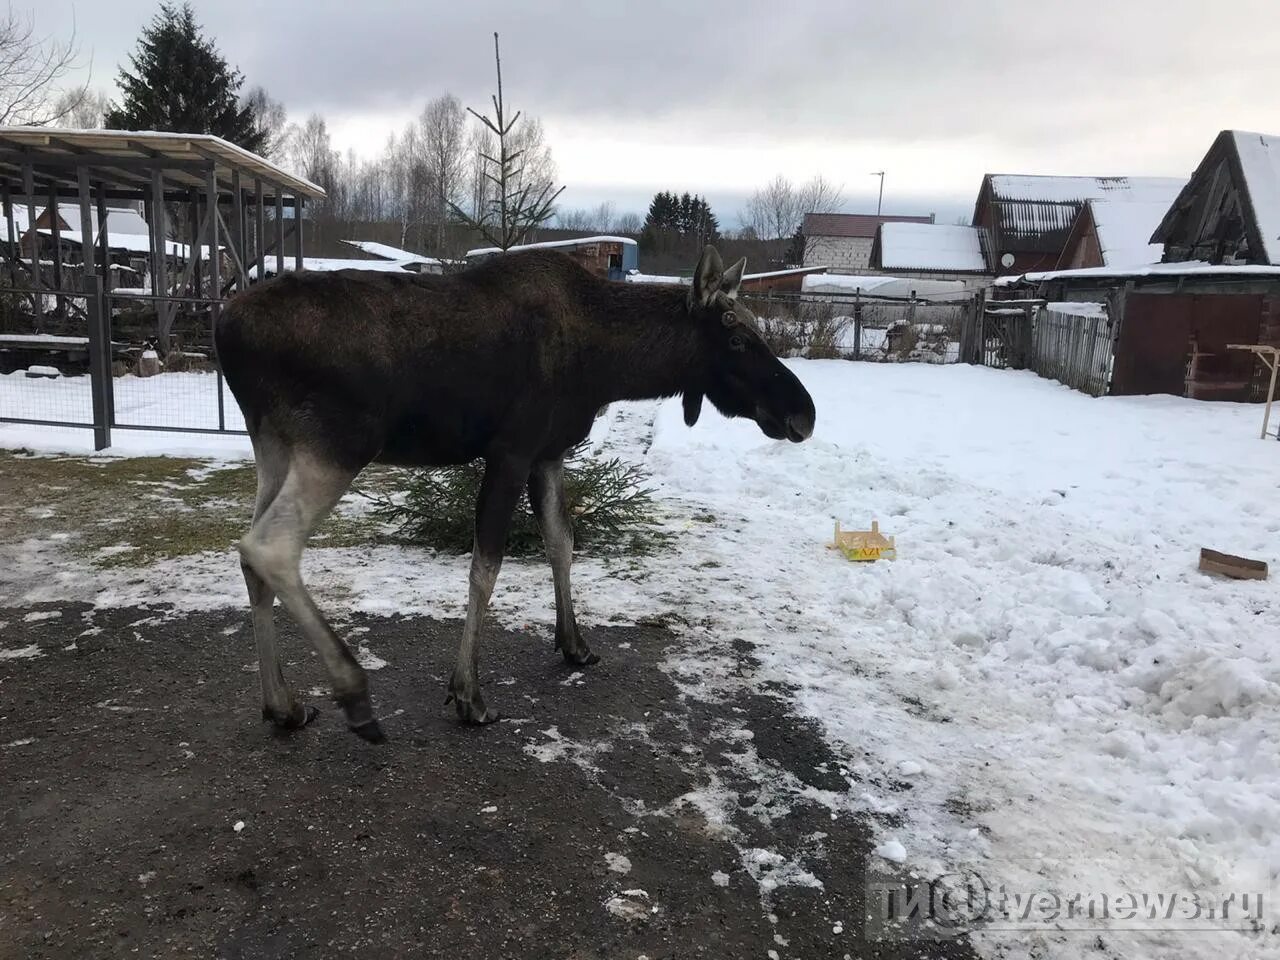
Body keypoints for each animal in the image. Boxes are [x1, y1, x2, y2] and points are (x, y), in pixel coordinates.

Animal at [215, 245, 814, 742]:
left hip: (273, 443)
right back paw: (353, 692)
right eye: (736, 337)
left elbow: (560, 542)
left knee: (249, 555)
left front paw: (574, 643)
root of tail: (225, 328)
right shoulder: (510, 450)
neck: (609, 364)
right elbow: (487, 566)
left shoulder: (547, 453)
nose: (803, 414)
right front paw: (468, 694)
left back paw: (283, 704)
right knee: (269, 548)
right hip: (339, 442)